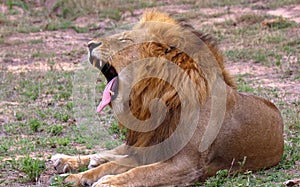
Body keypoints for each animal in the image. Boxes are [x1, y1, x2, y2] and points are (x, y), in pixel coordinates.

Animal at [51, 10, 284, 186]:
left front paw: (107, 181)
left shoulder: (186, 165)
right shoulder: (149, 150)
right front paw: (79, 176)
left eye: (124, 39)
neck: (157, 102)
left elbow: (140, 172)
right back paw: (67, 160)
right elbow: (118, 165)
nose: (89, 44)